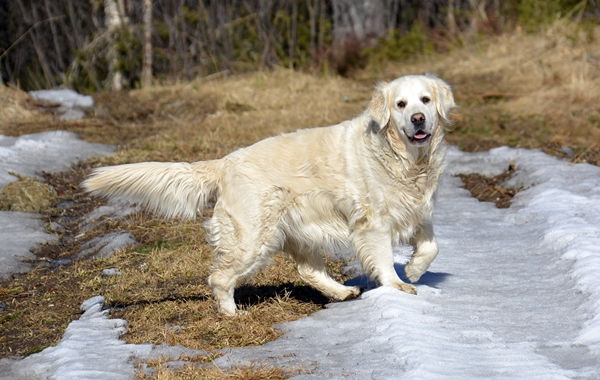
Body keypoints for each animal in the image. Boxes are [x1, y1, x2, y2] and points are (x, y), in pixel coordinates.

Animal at [83, 73, 454, 314]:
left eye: (425, 100)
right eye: (400, 104)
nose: (418, 119)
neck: (407, 160)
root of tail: (225, 162)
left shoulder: (419, 212)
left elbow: (432, 247)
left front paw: (416, 270)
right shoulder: (373, 223)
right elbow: (384, 259)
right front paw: (399, 285)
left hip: (297, 230)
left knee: (307, 271)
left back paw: (344, 292)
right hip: (253, 238)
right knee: (220, 276)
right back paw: (232, 315)